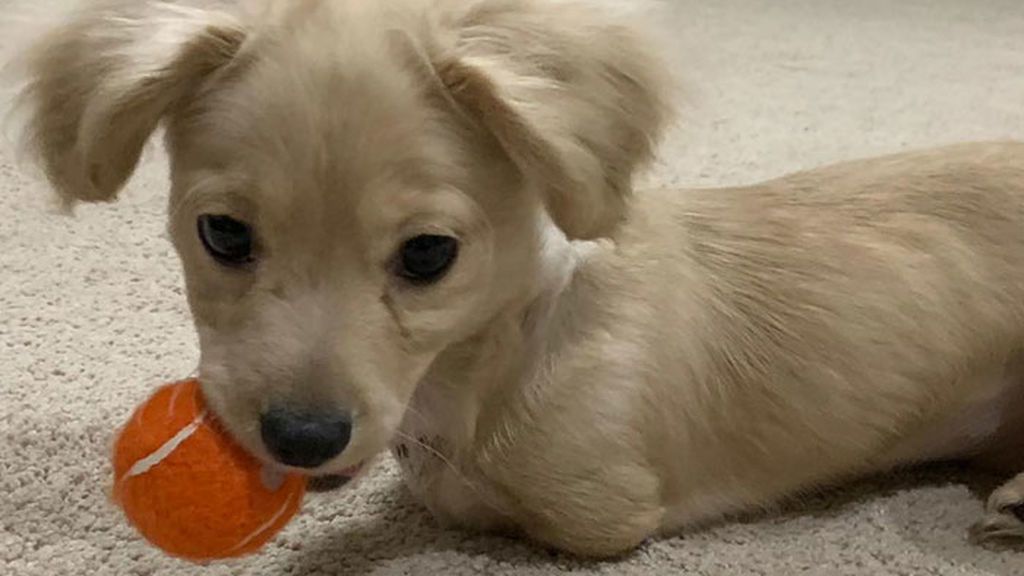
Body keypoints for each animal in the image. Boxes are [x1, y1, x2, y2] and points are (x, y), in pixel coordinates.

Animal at [14, 0, 1024, 557]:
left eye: (429, 255)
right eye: (222, 234)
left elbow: (470, 500)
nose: (301, 439)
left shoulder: (602, 517)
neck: (495, 359)